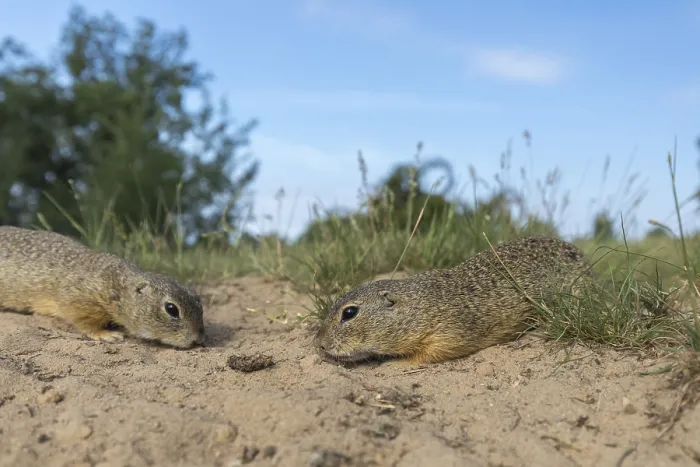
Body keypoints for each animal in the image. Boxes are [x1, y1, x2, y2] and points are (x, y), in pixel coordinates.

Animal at [0, 225, 205, 348]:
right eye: (171, 309)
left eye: (199, 301)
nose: (199, 338)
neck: (117, 284)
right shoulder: (81, 301)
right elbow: (85, 323)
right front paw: (106, 335)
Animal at [314, 236, 594, 365]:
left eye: (349, 313)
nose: (320, 343)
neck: (422, 303)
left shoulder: (449, 333)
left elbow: (428, 354)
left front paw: (394, 364)